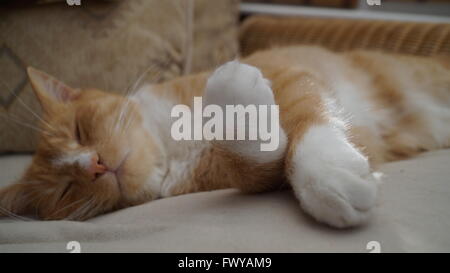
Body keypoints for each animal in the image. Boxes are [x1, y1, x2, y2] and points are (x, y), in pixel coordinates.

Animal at [0, 46, 450, 227]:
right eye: (64, 190)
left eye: (80, 131)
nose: (92, 165)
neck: (173, 146)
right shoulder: (247, 174)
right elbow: (253, 165)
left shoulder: (290, 74)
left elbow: (307, 113)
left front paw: (326, 170)